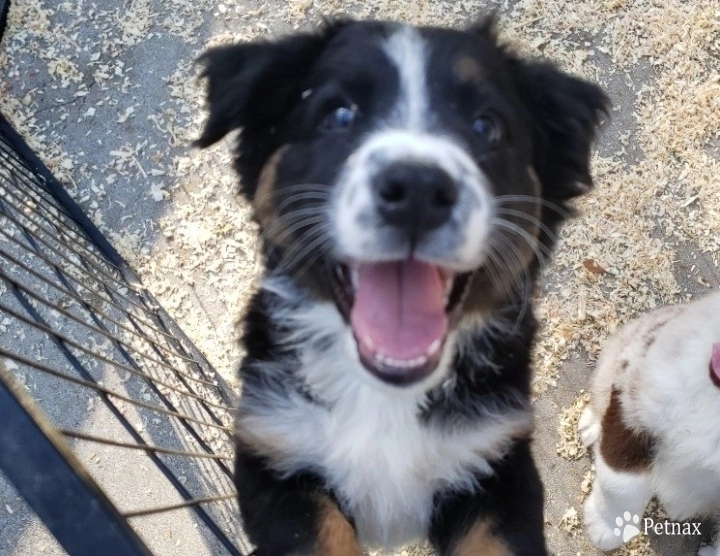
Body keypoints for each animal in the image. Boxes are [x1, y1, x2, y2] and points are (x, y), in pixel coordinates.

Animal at [197, 17, 608, 556]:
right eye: (339, 114)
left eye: (486, 125)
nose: (416, 188)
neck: (383, 398)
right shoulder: (275, 455)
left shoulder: (497, 464)